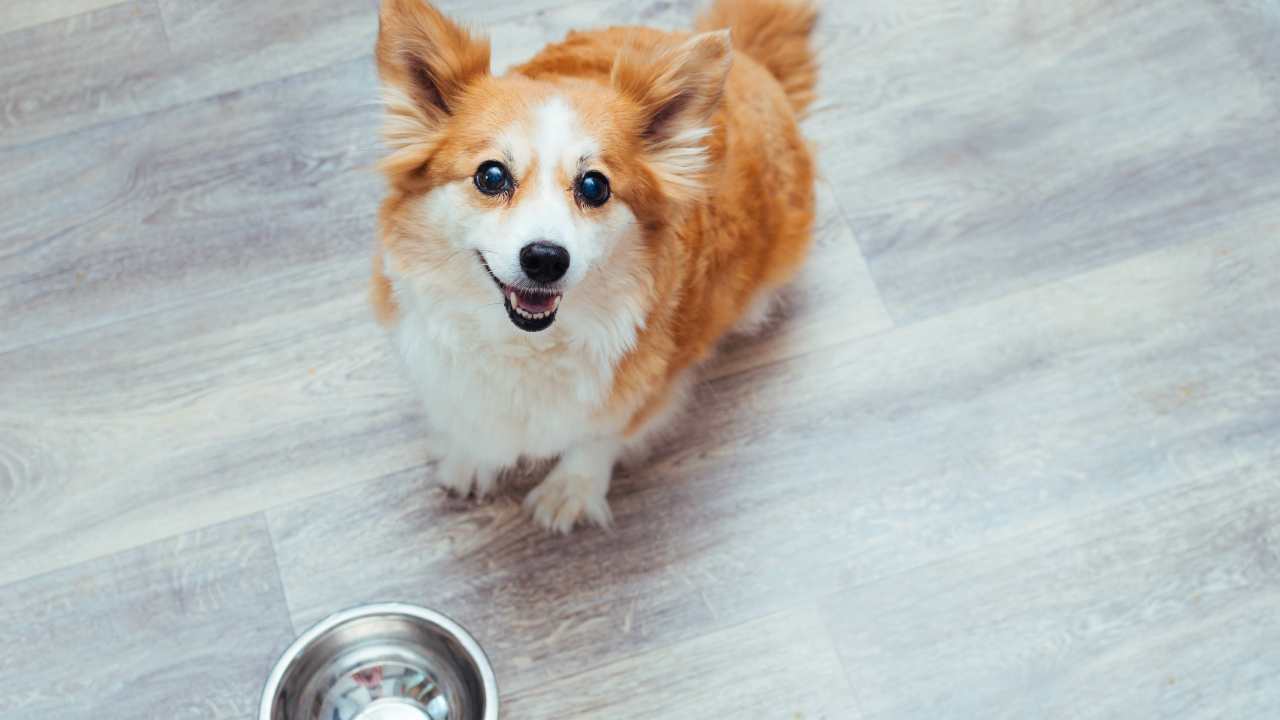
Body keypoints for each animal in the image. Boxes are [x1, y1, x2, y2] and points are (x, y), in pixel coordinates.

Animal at [371, 0, 819, 527]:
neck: (526, 346)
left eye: (594, 186)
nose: (545, 259)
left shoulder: (651, 385)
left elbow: (600, 436)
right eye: (491, 176)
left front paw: (571, 488)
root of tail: (753, 63)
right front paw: (471, 454)